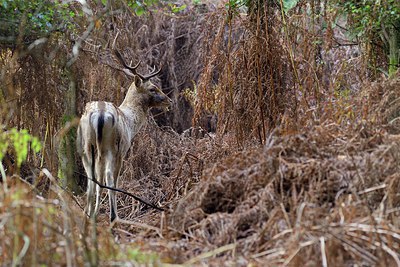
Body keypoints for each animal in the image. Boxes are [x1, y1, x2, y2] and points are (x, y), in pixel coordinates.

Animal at [77, 49, 171, 222]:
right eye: (153, 88)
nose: (169, 100)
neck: (130, 122)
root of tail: (98, 114)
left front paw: (92, 212)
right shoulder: (123, 150)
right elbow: (114, 179)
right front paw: (108, 214)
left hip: (87, 145)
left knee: (91, 178)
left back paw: (87, 213)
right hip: (111, 146)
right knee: (108, 177)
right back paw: (112, 216)